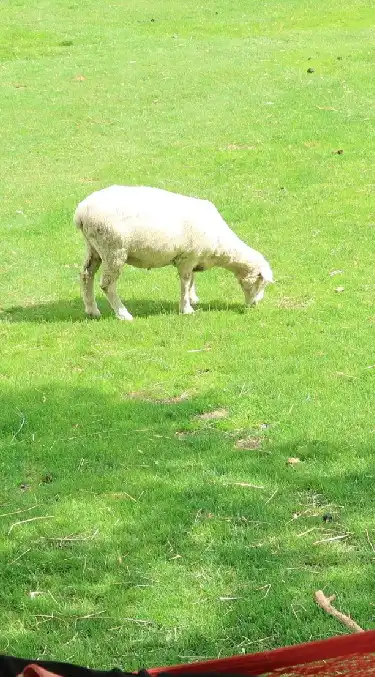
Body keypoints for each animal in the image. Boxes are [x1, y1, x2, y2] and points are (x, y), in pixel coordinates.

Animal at [73, 185, 274, 322]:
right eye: (261, 282)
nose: (255, 304)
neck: (221, 245)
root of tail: (81, 212)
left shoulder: (194, 259)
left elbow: (192, 280)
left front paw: (193, 299)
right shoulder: (187, 258)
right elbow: (185, 282)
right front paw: (186, 308)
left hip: (94, 247)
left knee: (86, 275)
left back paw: (92, 310)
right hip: (114, 249)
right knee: (107, 284)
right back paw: (123, 313)